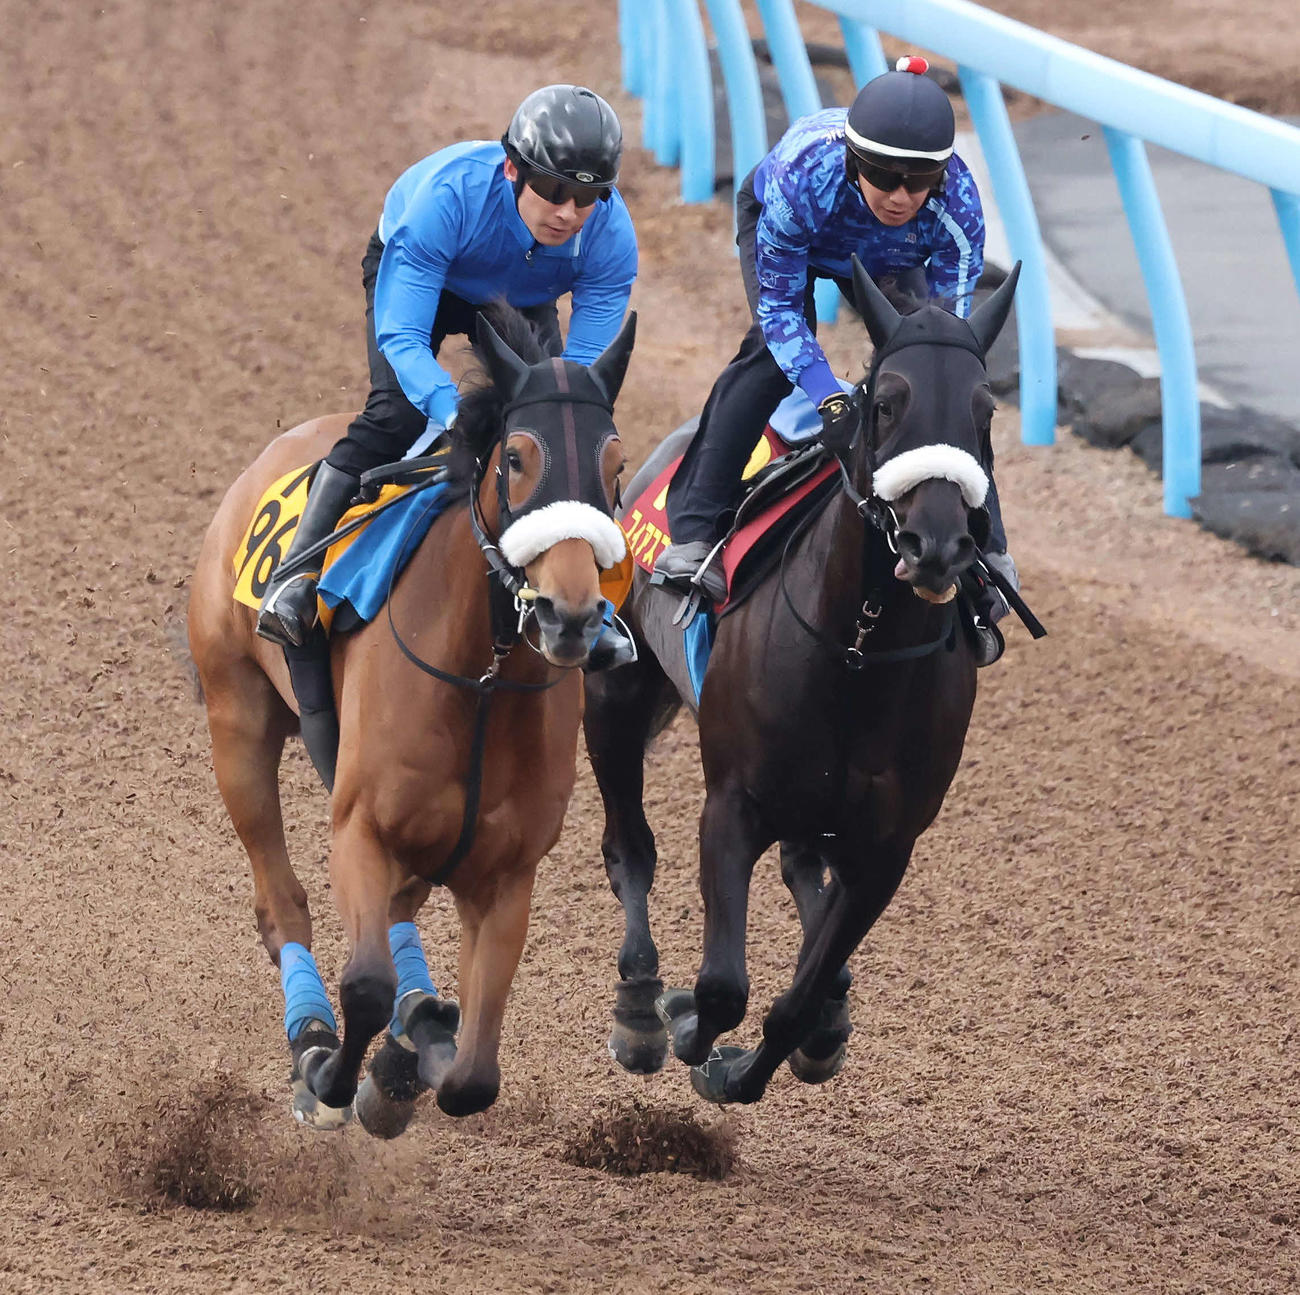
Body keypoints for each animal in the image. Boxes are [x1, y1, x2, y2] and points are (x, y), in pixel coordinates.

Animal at [188, 304, 635, 1132]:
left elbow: (472, 1076)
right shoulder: (359, 829)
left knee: (400, 914)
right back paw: (314, 1034)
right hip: (237, 719)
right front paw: (332, 1075)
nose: (570, 615)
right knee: (281, 904)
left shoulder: (506, 873)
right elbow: (364, 983)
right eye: (516, 457)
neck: (483, 682)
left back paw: (416, 1020)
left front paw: (408, 1056)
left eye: (616, 466)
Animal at [584, 256, 1020, 1104]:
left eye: (985, 412)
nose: (938, 546)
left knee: (803, 872)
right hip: (616, 695)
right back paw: (641, 1006)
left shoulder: (888, 848)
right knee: (630, 850)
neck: (857, 650)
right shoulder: (731, 803)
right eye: (887, 403)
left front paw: (747, 1064)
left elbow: (798, 995)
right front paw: (688, 1024)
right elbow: (723, 985)